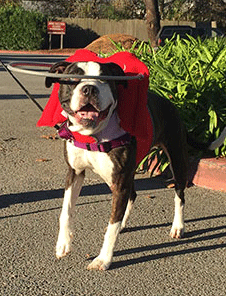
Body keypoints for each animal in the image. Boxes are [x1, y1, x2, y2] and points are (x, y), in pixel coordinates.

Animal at [45, 59, 226, 270]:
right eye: (73, 78)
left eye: (105, 78)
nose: (89, 88)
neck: (94, 135)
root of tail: (170, 104)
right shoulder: (75, 172)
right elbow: (65, 211)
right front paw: (63, 244)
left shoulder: (119, 181)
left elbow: (111, 227)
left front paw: (103, 259)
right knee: (132, 194)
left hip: (177, 160)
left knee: (179, 196)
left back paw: (178, 226)